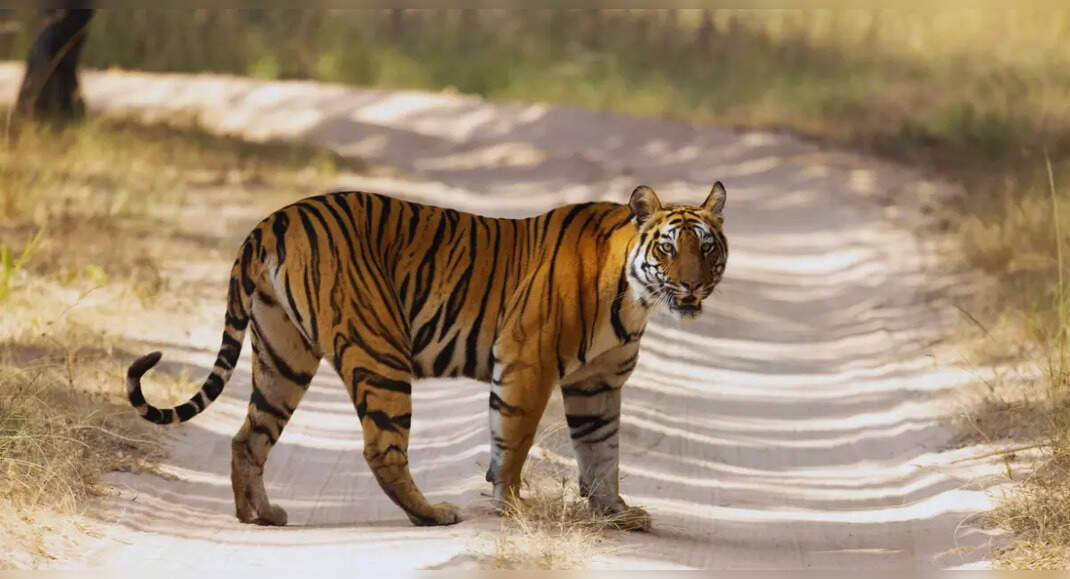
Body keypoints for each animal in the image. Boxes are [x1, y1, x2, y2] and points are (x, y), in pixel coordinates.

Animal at [126, 183, 728, 531]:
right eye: (668, 248)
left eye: (708, 248)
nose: (693, 287)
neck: (635, 296)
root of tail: (271, 221)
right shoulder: (527, 362)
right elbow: (513, 443)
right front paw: (511, 508)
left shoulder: (597, 384)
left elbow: (602, 453)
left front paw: (616, 513)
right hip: (380, 349)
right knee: (381, 448)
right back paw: (432, 514)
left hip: (283, 353)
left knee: (248, 436)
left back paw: (260, 515)